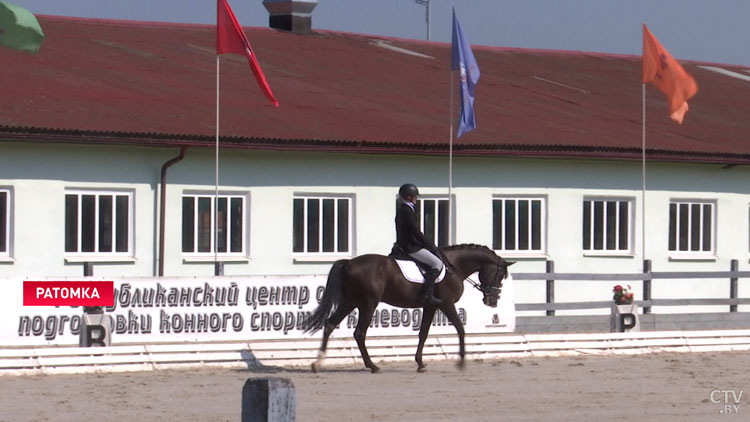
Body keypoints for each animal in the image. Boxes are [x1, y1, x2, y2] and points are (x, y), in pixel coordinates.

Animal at [302, 244, 516, 372]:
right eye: (500, 275)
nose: (492, 301)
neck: (453, 266)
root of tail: (349, 263)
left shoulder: (431, 306)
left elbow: (423, 334)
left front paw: (420, 363)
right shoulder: (446, 304)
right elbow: (460, 329)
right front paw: (461, 361)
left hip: (350, 302)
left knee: (330, 325)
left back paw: (317, 362)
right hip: (367, 304)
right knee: (359, 333)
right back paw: (372, 366)